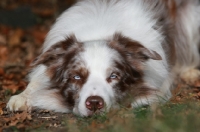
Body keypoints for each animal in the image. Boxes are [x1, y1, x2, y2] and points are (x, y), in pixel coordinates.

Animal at [7, 0, 199, 116]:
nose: (94, 103)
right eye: (76, 77)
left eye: (114, 76)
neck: (99, 33)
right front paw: (22, 97)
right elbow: (37, 81)